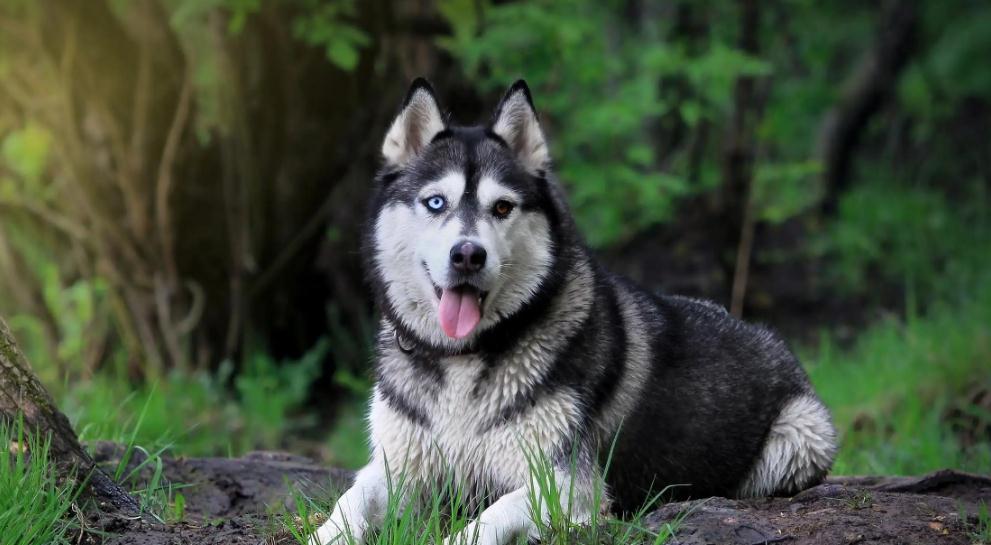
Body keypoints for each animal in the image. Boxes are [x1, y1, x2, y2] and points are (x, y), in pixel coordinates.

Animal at [312, 79, 836, 544]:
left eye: (502, 208)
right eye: (436, 202)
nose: (468, 255)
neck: (463, 359)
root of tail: (764, 332)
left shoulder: (567, 485)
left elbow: (485, 521)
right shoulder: (397, 467)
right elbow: (348, 503)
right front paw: (324, 534)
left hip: (802, 437)